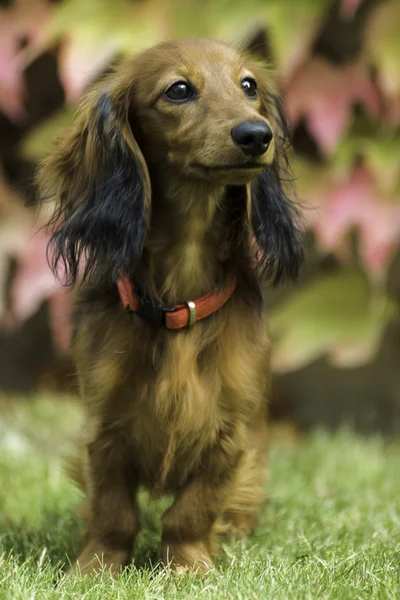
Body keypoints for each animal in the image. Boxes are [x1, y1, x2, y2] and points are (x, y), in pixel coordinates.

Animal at [35, 38, 304, 576]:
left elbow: (192, 510)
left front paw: (187, 568)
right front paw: (95, 570)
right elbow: (113, 511)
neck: (180, 297)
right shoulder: (104, 429)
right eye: (178, 90)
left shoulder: (229, 435)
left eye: (249, 86)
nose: (256, 135)